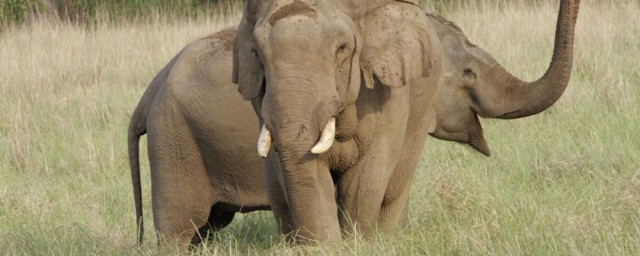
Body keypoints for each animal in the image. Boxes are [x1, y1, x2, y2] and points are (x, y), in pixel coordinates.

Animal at [129, 0, 580, 246]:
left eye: (343, 49)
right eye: (468, 74)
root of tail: (149, 94)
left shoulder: (395, 99)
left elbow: (378, 180)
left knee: (204, 230)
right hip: (174, 142)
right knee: (178, 229)